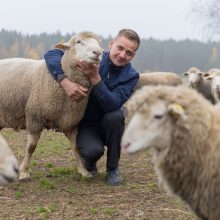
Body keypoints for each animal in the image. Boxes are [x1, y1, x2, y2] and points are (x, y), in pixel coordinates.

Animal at [0, 31, 103, 181]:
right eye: (78, 42)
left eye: (99, 43)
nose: (98, 52)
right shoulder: (34, 117)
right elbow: (31, 147)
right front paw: (24, 172)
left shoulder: (71, 122)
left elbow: (75, 147)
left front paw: (83, 171)